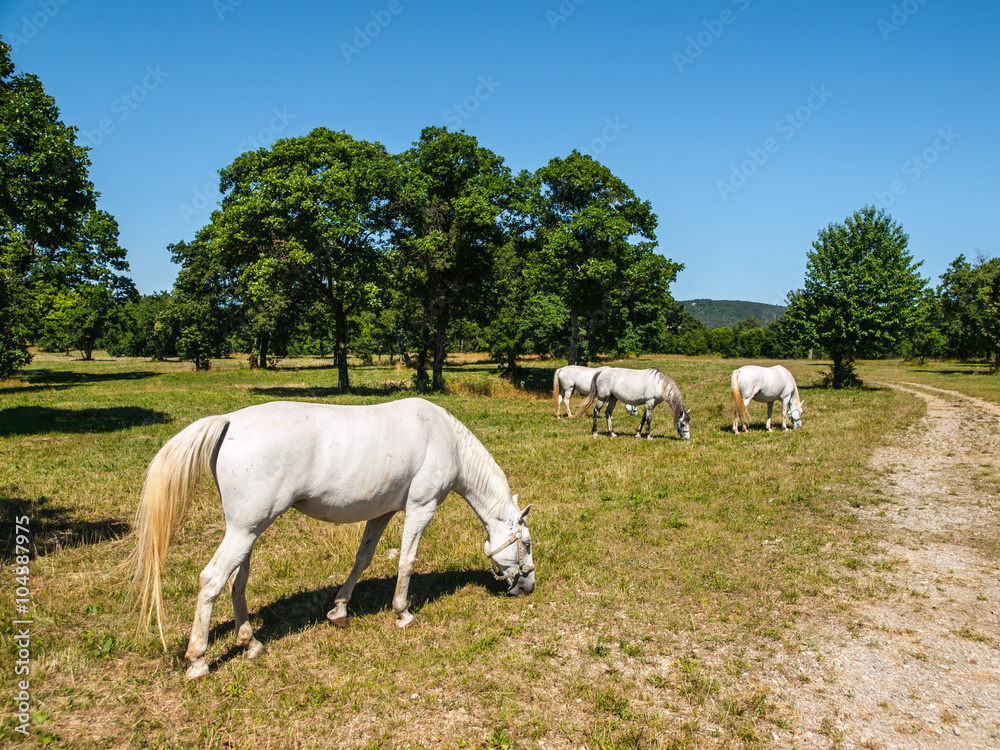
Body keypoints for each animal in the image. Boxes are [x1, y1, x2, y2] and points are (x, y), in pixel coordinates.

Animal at [129, 398, 535, 681]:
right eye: (527, 543)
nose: (527, 586)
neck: (446, 439)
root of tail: (229, 422)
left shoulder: (381, 513)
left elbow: (363, 558)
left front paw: (339, 610)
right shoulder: (422, 507)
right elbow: (406, 560)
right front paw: (402, 613)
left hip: (248, 531)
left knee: (237, 582)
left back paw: (251, 644)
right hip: (244, 531)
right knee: (212, 581)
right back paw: (198, 661)